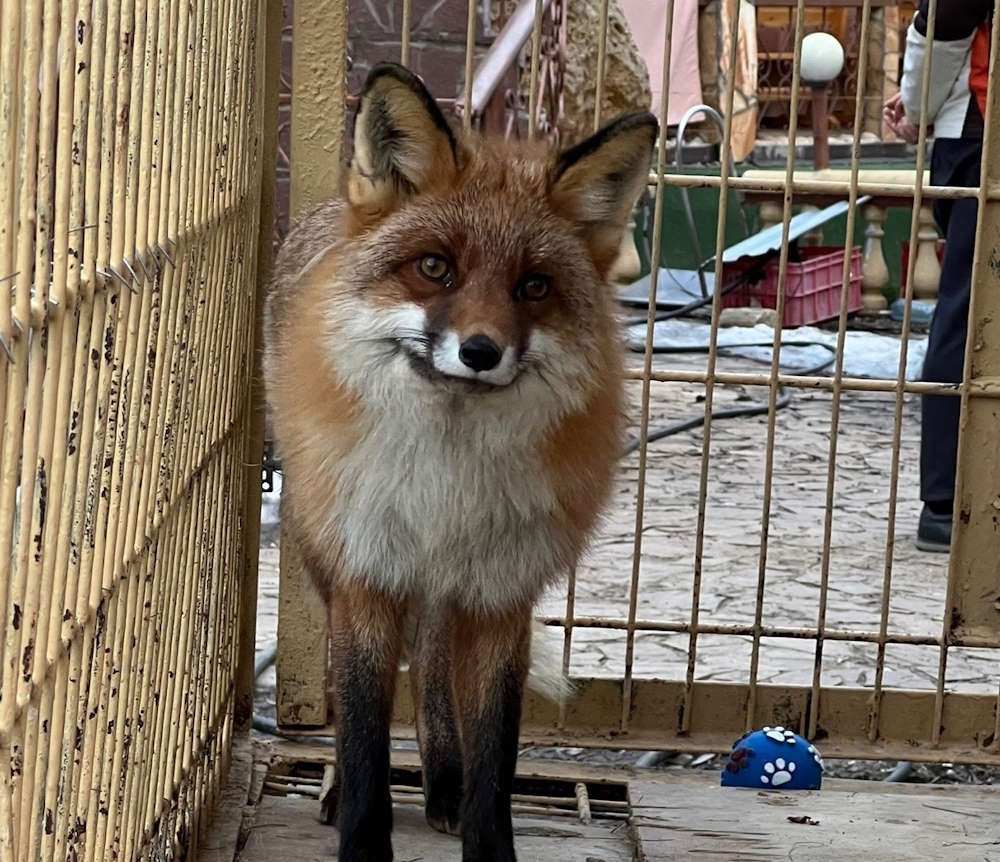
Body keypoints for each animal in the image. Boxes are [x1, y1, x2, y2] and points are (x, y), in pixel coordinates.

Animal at [262, 62, 660, 862]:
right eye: (435, 268)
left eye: (533, 286)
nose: (480, 351)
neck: (447, 489)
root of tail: (327, 212)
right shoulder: (367, 578)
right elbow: (362, 735)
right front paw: (362, 832)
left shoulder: (502, 594)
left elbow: (496, 759)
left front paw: (480, 829)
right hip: (325, 557)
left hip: (450, 596)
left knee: (433, 672)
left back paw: (442, 779)